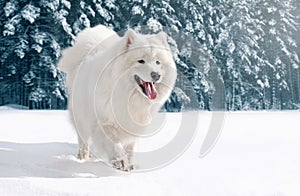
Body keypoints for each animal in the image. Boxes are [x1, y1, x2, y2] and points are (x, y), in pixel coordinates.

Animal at [58, 24, 176, 172]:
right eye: (141, 61)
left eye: (157, 62)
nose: (156, 75)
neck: (128, 97)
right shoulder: (103, 121)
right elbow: (113, 142)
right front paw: (120, 161)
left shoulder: (133, 125)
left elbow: (129, 147)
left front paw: (130, 165)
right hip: (81, 118)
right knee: (83, 141)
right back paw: (82, 158)